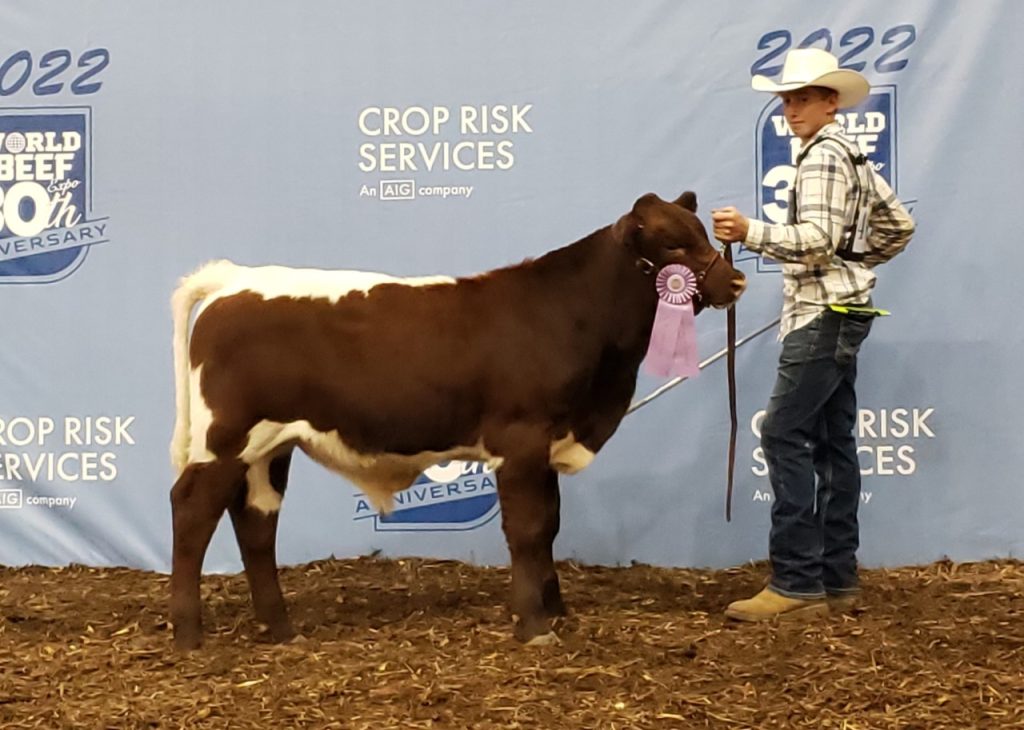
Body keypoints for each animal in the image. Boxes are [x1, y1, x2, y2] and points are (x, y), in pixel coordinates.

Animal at [167, 189, 745, 651]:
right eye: (671, 245)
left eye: (701, 233)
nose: (736, 281)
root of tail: (237, 279)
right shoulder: (520, 437)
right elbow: (528, 529)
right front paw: (534, 625)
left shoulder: (546, 443)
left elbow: (551, 523)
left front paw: (554, 610)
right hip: (226, 437)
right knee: (192, 510)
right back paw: (189, 634)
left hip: (269, 447)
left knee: (255, 520)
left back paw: (280, 628)